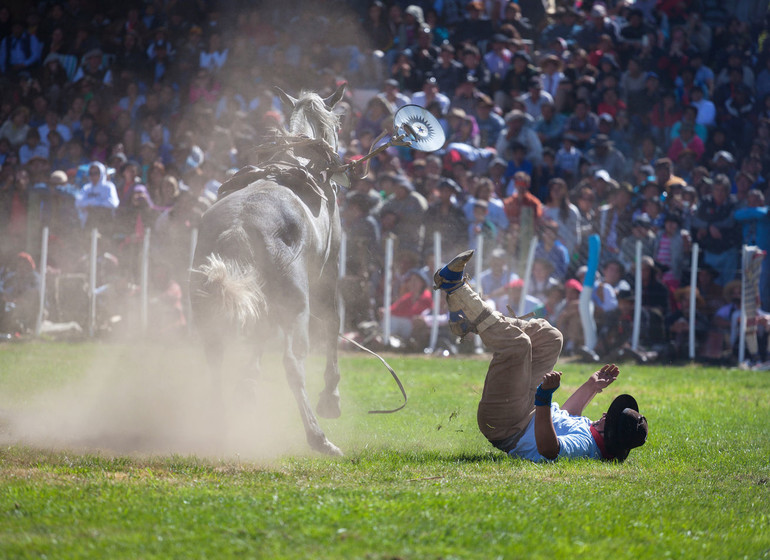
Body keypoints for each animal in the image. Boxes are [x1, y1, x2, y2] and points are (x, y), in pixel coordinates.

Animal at [189, 85, 344, 458]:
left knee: (214, 357)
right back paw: (318, 437)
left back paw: (219, 424)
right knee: (292, 363)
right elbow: (333, 323)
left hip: (209, 309)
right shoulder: (328, 273)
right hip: (296, 306)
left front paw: (248, 386)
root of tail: (240, 226)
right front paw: (331, 397)